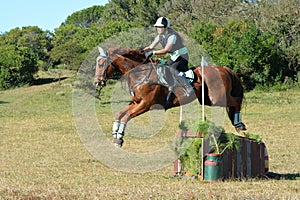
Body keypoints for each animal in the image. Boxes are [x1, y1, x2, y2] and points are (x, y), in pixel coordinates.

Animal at [94, 46, 246, 147]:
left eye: (101, 64)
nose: (97, 82)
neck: (141, 74)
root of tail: (224, 68)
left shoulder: (146, 105)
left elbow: (126, 116)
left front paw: (119, 137)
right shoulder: (136, 103)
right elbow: (119, 114)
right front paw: (115, 134)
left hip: (216, 98)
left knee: (236, 101)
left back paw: (239, 124)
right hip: (207, 99)